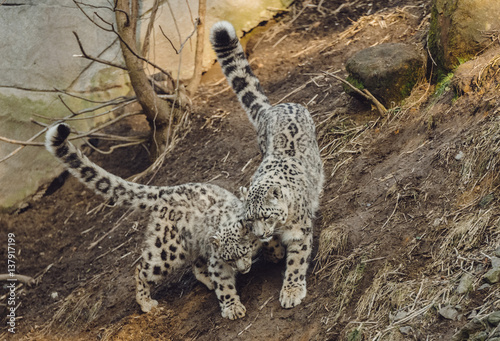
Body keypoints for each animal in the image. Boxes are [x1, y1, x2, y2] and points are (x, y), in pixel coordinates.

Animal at [45, 122, 284, 318]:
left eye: (243, 252)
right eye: (229, 257)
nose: (243, 269)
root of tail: (165, 191)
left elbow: (270, 239)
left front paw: (276, 253)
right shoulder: (217, 260)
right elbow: (224, 285)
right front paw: (233, 308)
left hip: (192, 243)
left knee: (196, 264)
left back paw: (206, 280)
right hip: (167, 250)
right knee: (141, 269)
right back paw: (146, 302)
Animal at [210, 20, 324, 308]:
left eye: (265, 215)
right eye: (249, 220)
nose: (261, 233)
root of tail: (273, 109)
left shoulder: (299, 232)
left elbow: (296, 262)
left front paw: (291, 291)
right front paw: (272, 250)